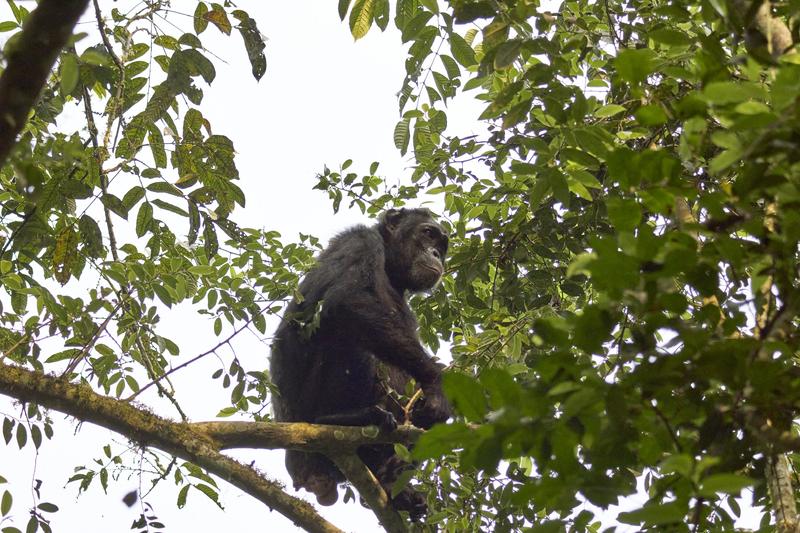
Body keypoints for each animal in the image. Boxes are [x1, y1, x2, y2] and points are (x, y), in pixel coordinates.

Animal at [268, 207, 454, 516]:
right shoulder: (359, 242)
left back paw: (390, 484)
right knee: (351, 334)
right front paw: (436, 382)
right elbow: (346, 299)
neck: (390, 268)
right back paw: (345, 419)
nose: (436, 253)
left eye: (442, 244)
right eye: (428, 233)